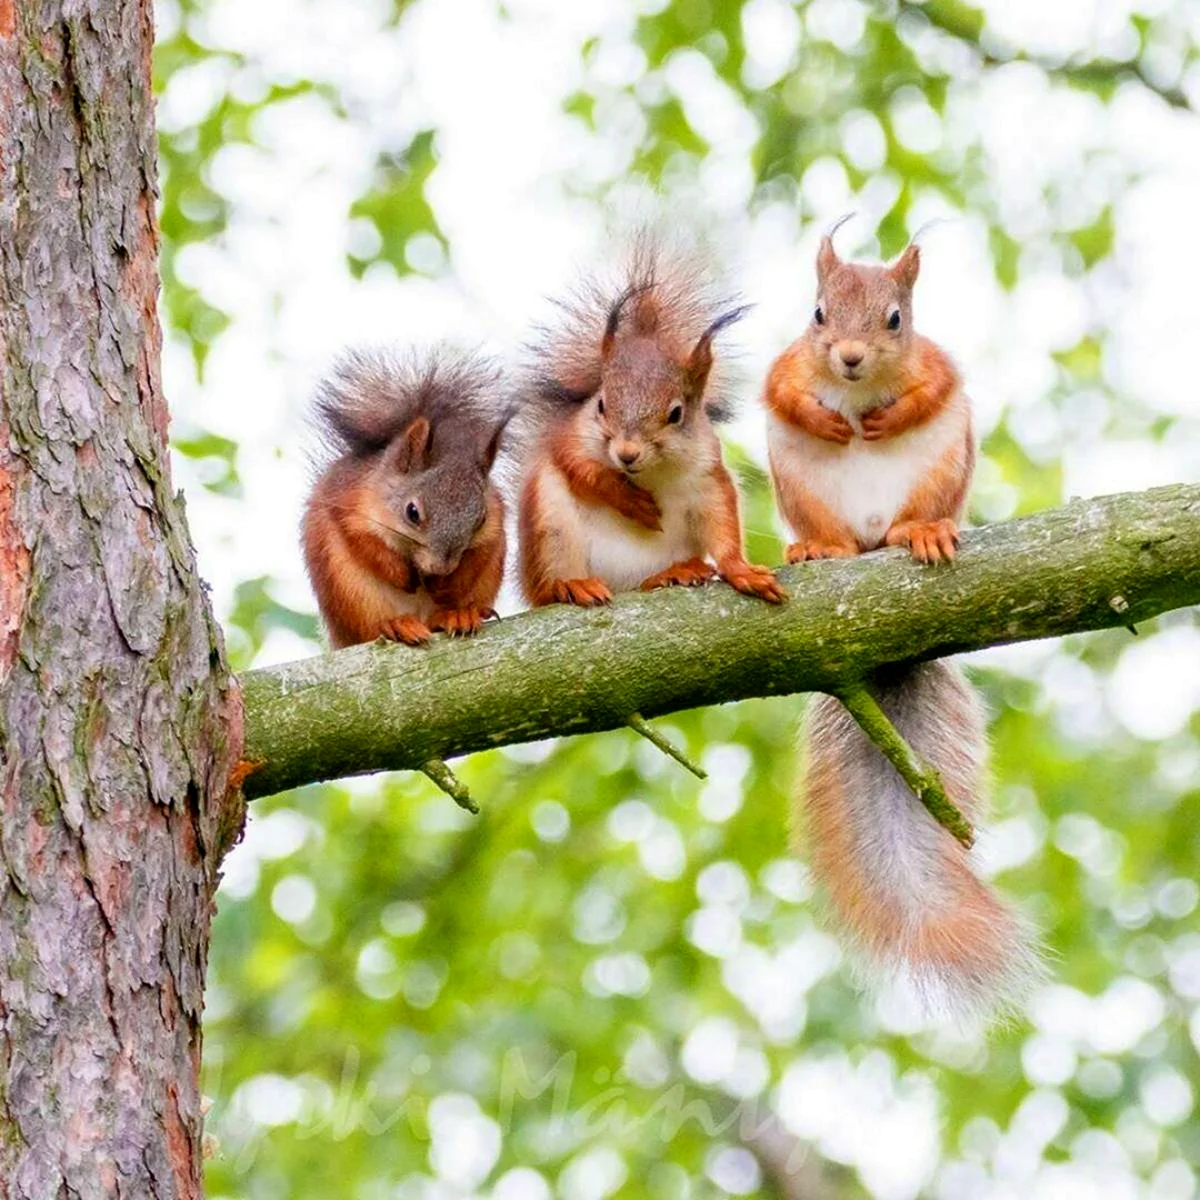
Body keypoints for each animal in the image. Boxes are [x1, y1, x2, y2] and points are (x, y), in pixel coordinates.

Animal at [302, 348, 508, 648]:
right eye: (412, 512)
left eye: (480, 519)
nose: (441, 567)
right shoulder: (346, 501)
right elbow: (363, 541)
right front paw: (401, 574)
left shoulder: (495, 523)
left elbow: (481, 552)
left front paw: (446, 585)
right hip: (349, 590)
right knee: (370, 629)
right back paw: (396, 625)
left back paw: (457, 615)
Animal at [516, 235, 787, 609]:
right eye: (601, 404)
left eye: (676, 414)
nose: (627, 454)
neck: (650, 472)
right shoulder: (569, 434)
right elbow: (577, 463)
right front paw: (627, 498)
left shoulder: (707, 475)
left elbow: (722, 527)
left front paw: (741, 571)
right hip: (551, 526)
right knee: (548, 585)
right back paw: (572, 585)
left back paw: (675, 572)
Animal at [768, 220, 1041, 1017]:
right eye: (817, 314)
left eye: (897, 320)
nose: (851, 359)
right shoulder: (784, 365)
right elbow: (780, 390)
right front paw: (822, 413)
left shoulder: (939, 366)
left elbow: (935, 386)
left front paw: (893, 411)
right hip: (801, 486)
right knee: (828, 530)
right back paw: (819, 548)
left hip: (941, 471)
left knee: (912, 516)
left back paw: (919, 534)